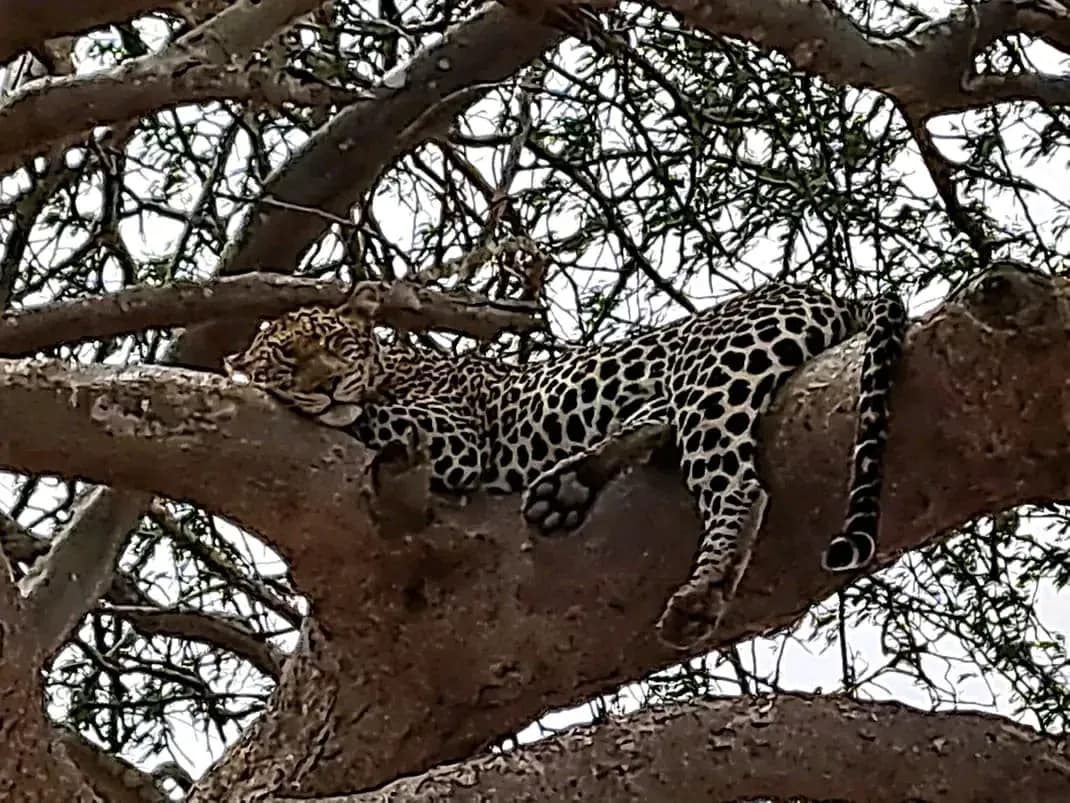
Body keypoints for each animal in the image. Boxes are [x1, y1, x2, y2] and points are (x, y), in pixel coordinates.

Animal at [224, 280, 908, 649]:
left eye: (338, 344)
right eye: (286, 359)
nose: (327, 384)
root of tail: (824, 290)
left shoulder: (455, 433)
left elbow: (372, 417)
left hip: (713, 373)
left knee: (738, 484)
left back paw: (702, 593)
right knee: (656, 425)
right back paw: (569, 486)